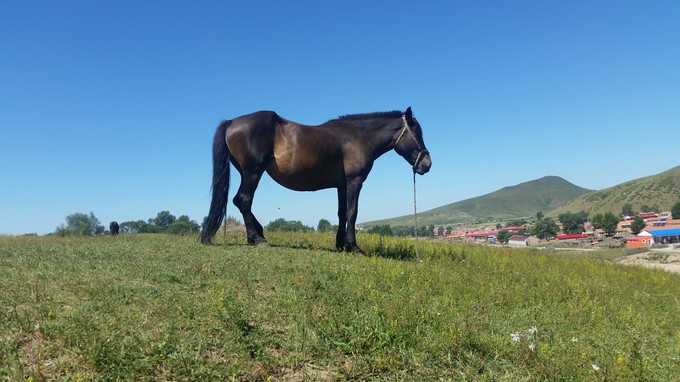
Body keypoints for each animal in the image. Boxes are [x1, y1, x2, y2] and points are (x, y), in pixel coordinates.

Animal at [199, 106, 430, 254]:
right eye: (417, 133)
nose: (427, 164)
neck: (358, 137)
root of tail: (232, 121)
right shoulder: (354, 181)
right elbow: (352, 212)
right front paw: (354, 247)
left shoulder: (342, 185)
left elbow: (341, 213)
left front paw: (341, 244)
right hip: (253, 172)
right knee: (244, 200)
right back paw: (258, 238)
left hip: (246, 172)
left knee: (240, 201)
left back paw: (256, 233)